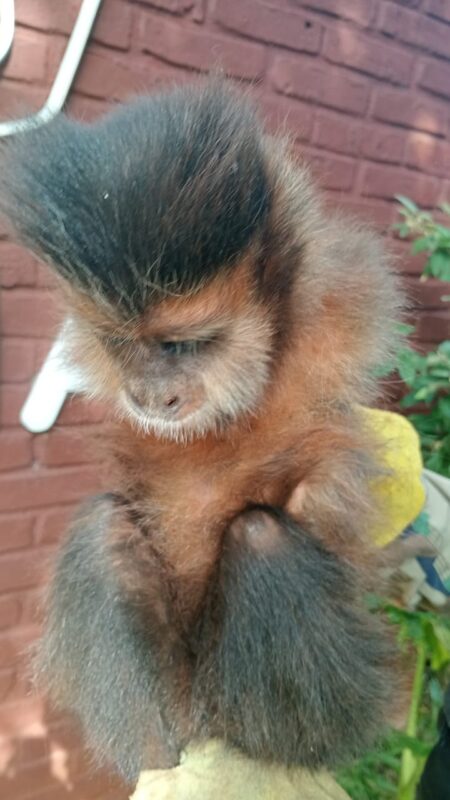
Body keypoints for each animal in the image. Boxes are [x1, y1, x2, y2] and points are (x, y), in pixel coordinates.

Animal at [0, 80, 403, 784]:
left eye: (181, 346)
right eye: (121, 344)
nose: (148, 394)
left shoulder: (343, 306)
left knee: (262, 538)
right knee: (103, 532)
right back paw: (163, 745)